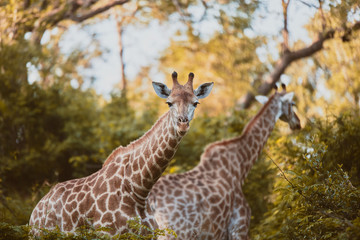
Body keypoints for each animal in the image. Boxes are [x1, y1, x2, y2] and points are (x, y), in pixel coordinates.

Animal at [29, 71, 214, 236]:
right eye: (169, 103)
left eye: (195, 103)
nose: (183, 124)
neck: (139, 190)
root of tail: (34, 213)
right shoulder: (108, 233)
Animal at [147, 84, 300, 240]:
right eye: (292, 103)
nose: (297, 123)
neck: (241, 166)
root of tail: (152, 201)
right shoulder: (239, 228)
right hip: (177, 233)